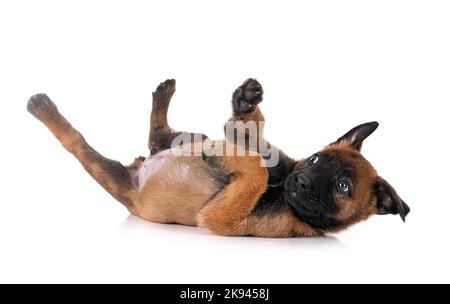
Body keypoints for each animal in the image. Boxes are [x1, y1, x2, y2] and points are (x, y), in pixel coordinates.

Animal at [26, 78, 410, 238]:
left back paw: (43, 108)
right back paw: (165, 93)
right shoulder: (267, 152)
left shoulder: (222, 219)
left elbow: (254, 171)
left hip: (108, 173)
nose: (299, 180)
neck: (281, 190)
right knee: (159, 137)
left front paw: (226, 150)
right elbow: (251, 141)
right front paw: (246, 104)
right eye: (315, 160)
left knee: (77, 143)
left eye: (343, 187)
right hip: (181, 138)